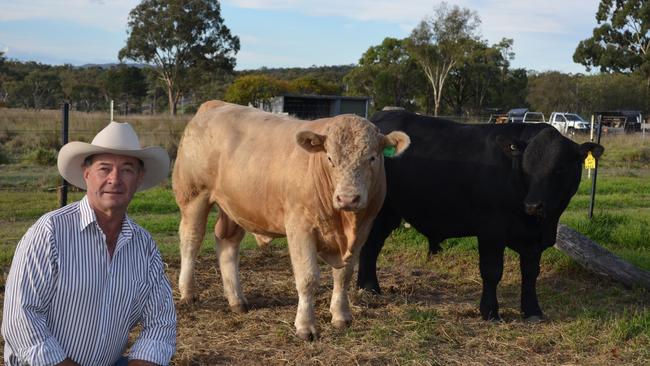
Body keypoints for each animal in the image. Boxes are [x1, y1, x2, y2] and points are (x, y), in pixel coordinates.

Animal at [170, 101, 408, 340]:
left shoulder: (362, 231)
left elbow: (344, 275)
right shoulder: (300, 228)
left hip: (234, 206)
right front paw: (305, 326)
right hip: (194, 196)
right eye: (330, 158)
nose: (348, 198)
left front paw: (341, 316)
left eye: (372, 158)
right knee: (191, 241)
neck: (344, 224)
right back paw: (188, 292)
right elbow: (308, 278)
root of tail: (216, 105)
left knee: (227, 244)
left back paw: (236, 300)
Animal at [354, 111, 604, 320]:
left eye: (560, 168)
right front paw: (490, 311)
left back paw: (367, 288)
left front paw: (533, 310)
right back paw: (370, 288)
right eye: (526, 167)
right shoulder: (491, 230)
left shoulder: (534, 240)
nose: (533, 205)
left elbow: (531, 273)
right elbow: (492, 271)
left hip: (388, 213)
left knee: (371, 247)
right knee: (369, 247)